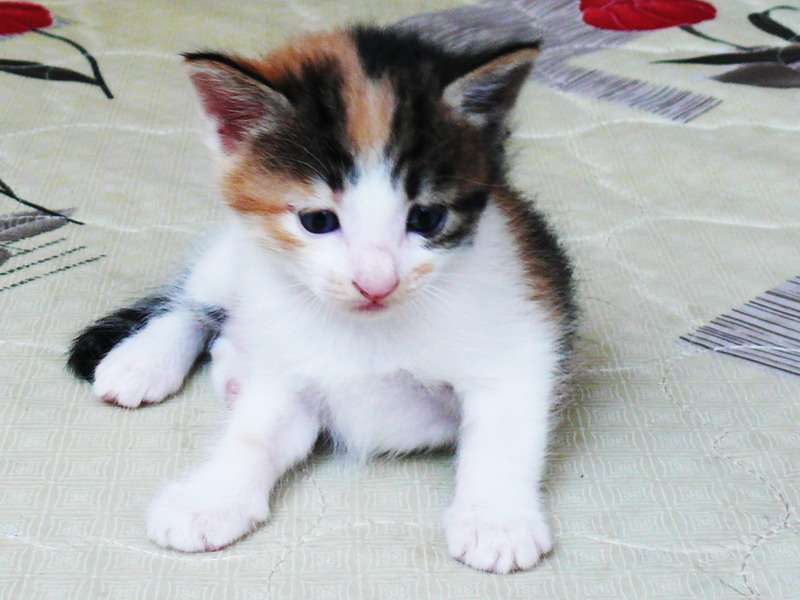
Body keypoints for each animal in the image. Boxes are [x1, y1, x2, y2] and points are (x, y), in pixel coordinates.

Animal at [67, 25, 576, 574]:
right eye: (317, 221)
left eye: (427, 218)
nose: (376, 283)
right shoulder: (290, 368)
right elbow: (254, 434)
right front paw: (210, 499)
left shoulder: (524, 329)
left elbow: (502, 434)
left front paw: (496, 521)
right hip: (232, 258)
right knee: (191, 303)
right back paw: (142, 362)